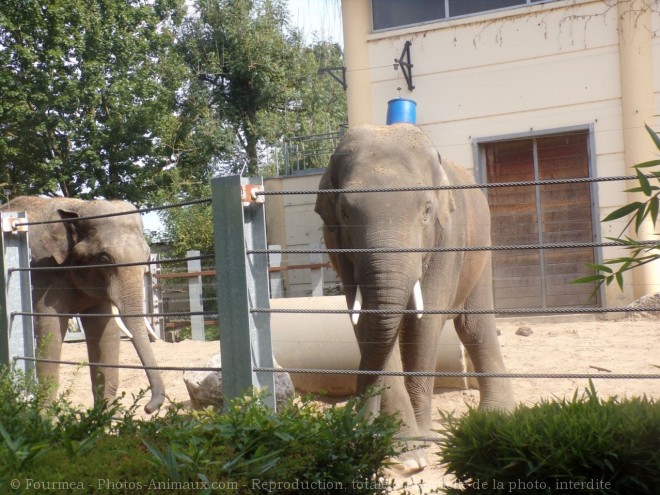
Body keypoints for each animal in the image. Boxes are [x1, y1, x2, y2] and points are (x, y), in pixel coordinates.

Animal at [1, 196, 165, 412]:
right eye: (103, 258)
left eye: (147, 256)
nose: (148, 407)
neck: (78, 206)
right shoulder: (41, 271)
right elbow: (49, 330)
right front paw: (44, 417)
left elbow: (105, 331)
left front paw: (104, 417)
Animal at [314, 125, 516, 472]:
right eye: (344, 212)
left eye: (426, 211)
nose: (355, 429)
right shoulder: (337, 244)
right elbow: (368, 324)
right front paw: (406, 454)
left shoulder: (447, 239)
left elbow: (424, 325)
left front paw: (420, 444)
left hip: (480, 246)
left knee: (475, 328)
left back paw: (495, 417)